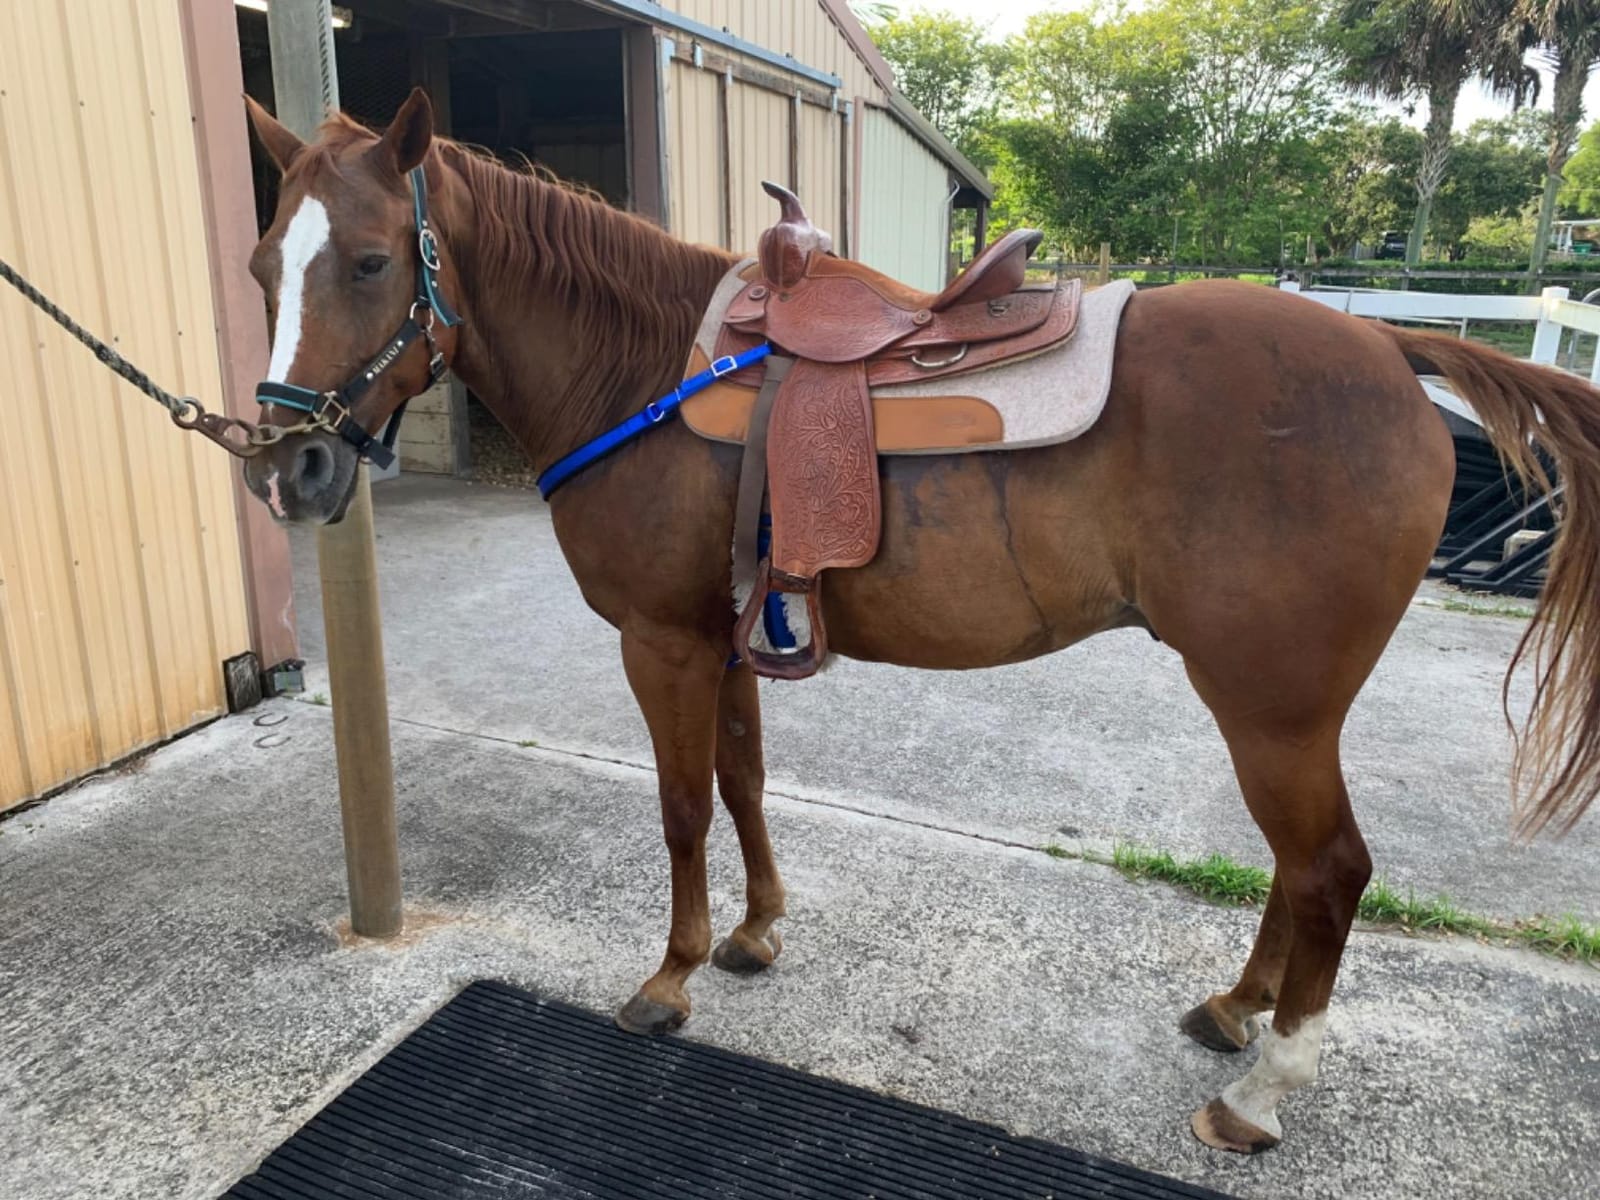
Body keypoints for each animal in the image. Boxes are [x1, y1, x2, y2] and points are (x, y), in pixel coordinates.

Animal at [239, 90, 1600, 1155]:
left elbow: (681, 807)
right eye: (261, 267)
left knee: (1328, 870)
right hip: (1281, 709)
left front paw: (672, 976)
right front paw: (755, 934)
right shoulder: (725, 635)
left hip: (1269, 703)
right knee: (1299, 868)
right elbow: (742, 779)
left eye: (370, 262)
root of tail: (1390, 346)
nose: (290, 467)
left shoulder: (660, 640)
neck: (643, 369)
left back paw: (1262, 1092)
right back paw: (1234, 1010)